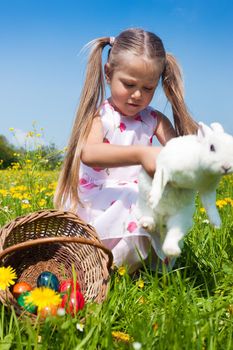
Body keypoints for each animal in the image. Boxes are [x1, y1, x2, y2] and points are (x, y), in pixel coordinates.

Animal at [137, 122, 233, 258]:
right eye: (212, 147)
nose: (227, 167)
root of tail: (163, 216)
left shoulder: (208, 190)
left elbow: (211, 207)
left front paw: (217, 224)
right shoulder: (164, 168)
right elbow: (159, 182)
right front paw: (153, 199)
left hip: (181, 219)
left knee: (173, 234)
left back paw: (172, 251)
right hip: (143, 207)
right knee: (147, 217)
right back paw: (147, 223)